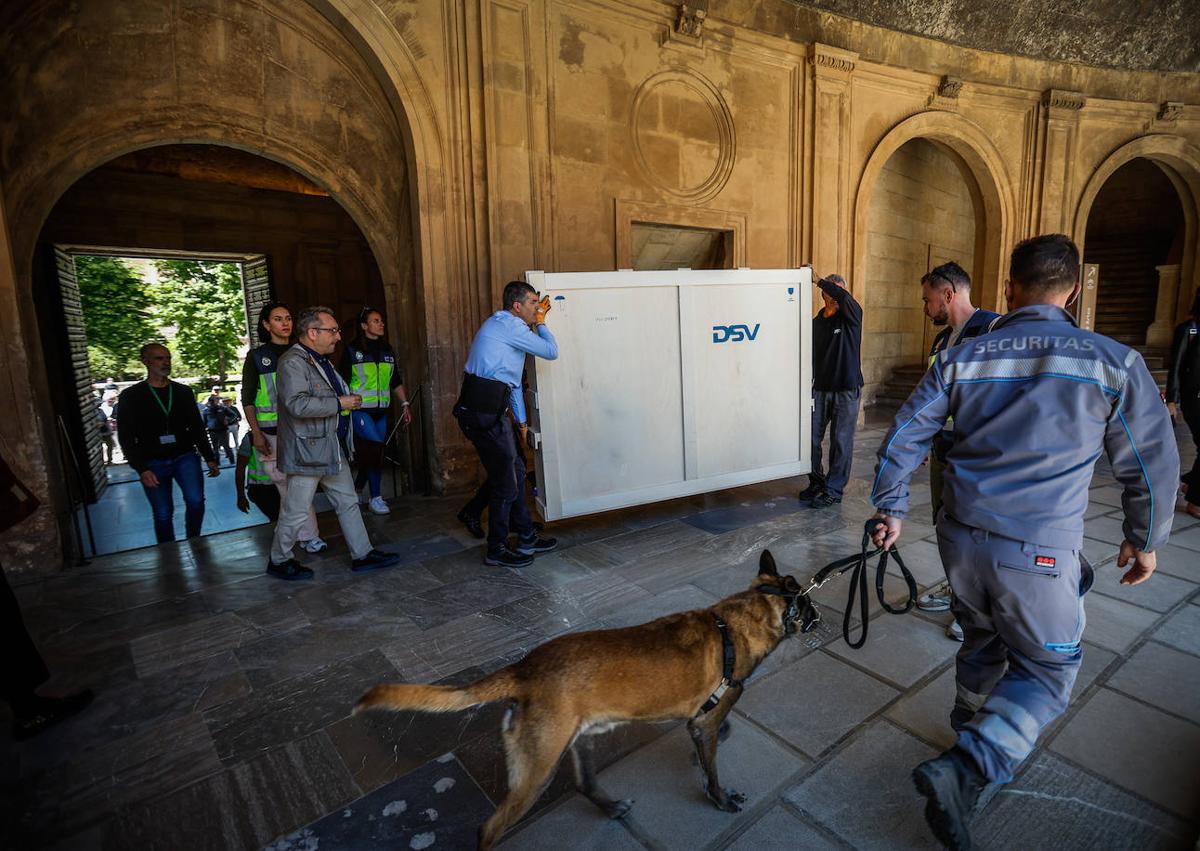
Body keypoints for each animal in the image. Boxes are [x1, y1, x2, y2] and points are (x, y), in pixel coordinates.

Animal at [352, 547, 806, 844]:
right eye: (807, 604)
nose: (817, 616)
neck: (733, 625)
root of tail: (524, 669)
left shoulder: (700, 722)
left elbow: (713, 738)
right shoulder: (706, 721)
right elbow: (712, 770)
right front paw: (721, 798)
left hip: (575, 739)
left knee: (585, 783)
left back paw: (610, 807)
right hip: (537, 770)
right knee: (489, 828)